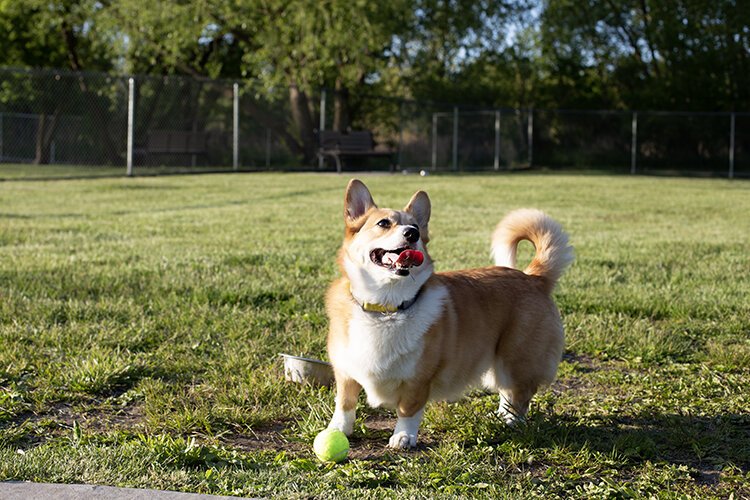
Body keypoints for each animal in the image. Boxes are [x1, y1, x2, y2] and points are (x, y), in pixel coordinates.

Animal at [324, 181, 576, 450]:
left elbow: (408, 409)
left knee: (518, 395)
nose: (412, 234)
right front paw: (337, 429)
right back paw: (500, 416)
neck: (387, 308)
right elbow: (345, 403)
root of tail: (534, 278)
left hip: (516, 360)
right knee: (507, 393)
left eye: (416, 227)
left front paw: (403, 436)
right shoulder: (345, 371)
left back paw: (511, 423)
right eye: (383, 223)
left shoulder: (418, 379)